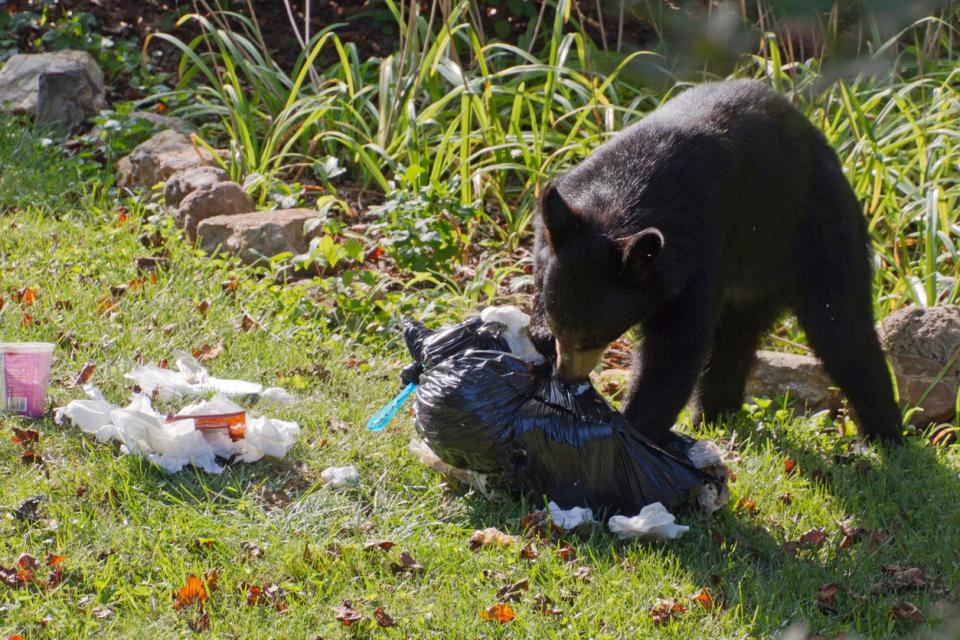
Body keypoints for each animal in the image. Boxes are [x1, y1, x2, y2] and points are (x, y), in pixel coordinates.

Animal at [532, 77, 900, 442]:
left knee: (842, 330)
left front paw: (636, 425)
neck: (621, 200)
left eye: (593, 339)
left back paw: (885, 433)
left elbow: (676, 346)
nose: (566, 377)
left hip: (817, 231)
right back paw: (716, 414)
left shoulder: (699, 252)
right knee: (735, 339)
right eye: (559, 327)